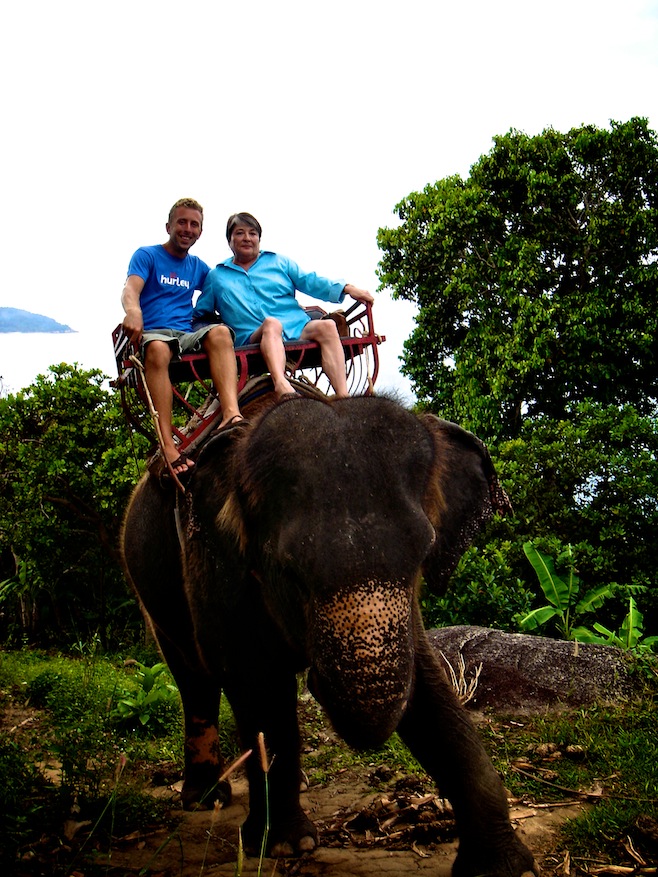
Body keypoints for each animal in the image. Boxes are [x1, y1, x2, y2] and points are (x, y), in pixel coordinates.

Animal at [121, 388, 537, 877]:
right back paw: (207, 799)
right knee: (194, 680)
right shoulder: (213, 560)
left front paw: (503, 867)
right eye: (288, 568)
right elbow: (255, 680)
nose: (320, 679)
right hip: (151, 592)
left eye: (424, 554)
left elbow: (427, 683)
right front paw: (285, 845)